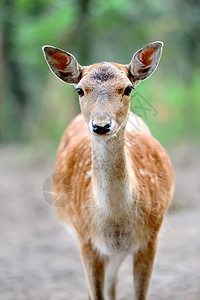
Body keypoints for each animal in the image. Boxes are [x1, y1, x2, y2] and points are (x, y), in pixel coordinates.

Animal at [42, 40, 173, 300]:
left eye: (128, 89)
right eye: (79, 90)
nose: (101, 125)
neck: (115, 222)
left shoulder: (151, 236)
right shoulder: (85, 238)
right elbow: (96, 293)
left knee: (113, 282)